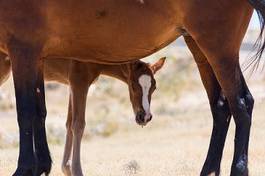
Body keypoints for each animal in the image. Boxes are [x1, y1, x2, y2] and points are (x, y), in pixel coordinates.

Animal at [0, 54, 165, 176]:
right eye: (133, 86)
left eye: (154, 87)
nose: (145, 116)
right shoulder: (79, 83)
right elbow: (78, 125)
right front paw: (76, 171)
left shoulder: (72, 86)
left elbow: (69, 124)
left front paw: (66, 168)